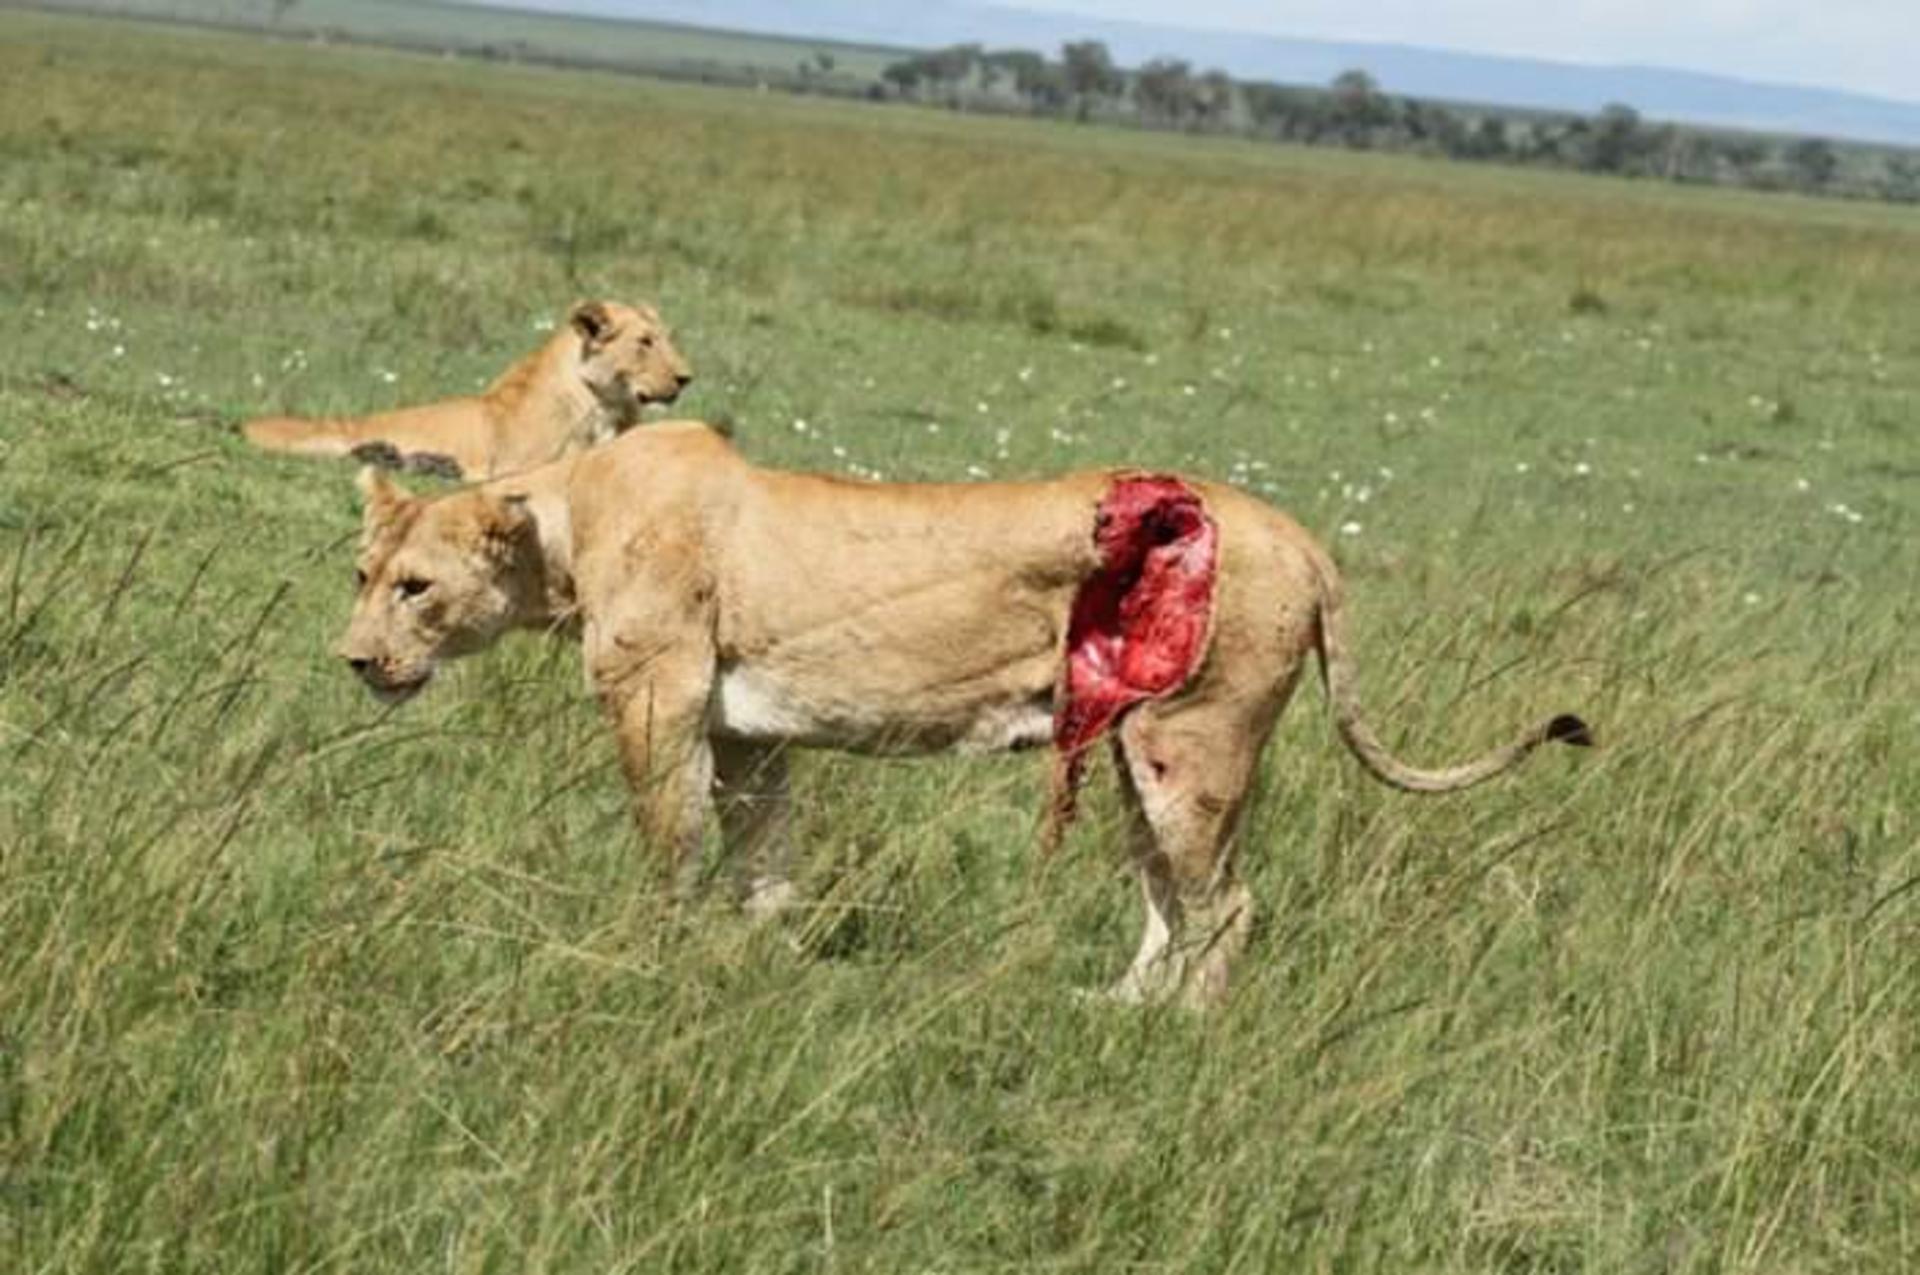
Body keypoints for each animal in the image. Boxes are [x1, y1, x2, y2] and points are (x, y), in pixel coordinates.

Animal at [335, 422, 1590, 1006]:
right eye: (360, 573)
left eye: (416, 589)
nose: (352, 658)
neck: (564, 524)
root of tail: (1308, 542)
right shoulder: (746, 731)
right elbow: (763, 857)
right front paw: (759, 956)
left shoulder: (658, 702)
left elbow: (669, 846)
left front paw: (642, 952)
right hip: (1137, 751)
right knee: (1169, 904)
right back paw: (1113, 1008)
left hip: (1192, 739)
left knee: (1227, 908)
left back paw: (1181, 1034)